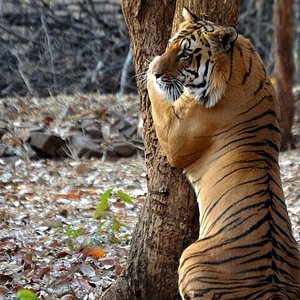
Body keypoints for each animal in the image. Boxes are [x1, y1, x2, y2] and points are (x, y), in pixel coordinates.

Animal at [146, 5, 298, 298]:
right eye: (170, 45)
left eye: (185, 54)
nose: (159, 72)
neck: (238, 64)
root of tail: (273, 288)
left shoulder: (175, 135)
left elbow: (157, 97)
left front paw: (149, 69)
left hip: (189, 259)